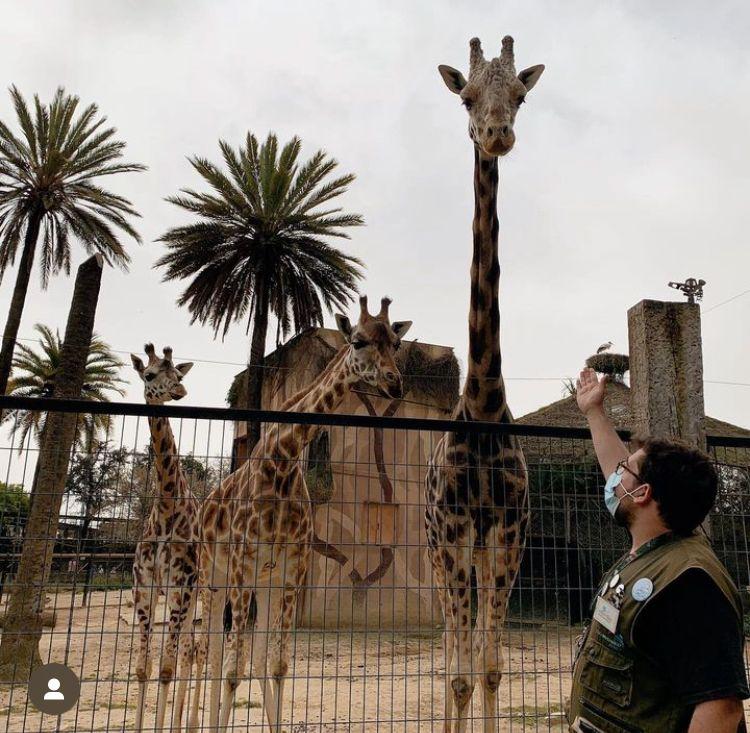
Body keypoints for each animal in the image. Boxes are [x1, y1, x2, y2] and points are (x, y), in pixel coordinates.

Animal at [192, 296, 412, 732]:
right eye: (358, 341)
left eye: (395, 343)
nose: (394, 382)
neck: (284, 461)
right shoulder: (242, 564)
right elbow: (231, 669)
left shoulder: (291, 569)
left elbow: (276, 664)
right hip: (214, 577)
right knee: (208, 653)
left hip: (259, 584)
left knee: (244, 656)